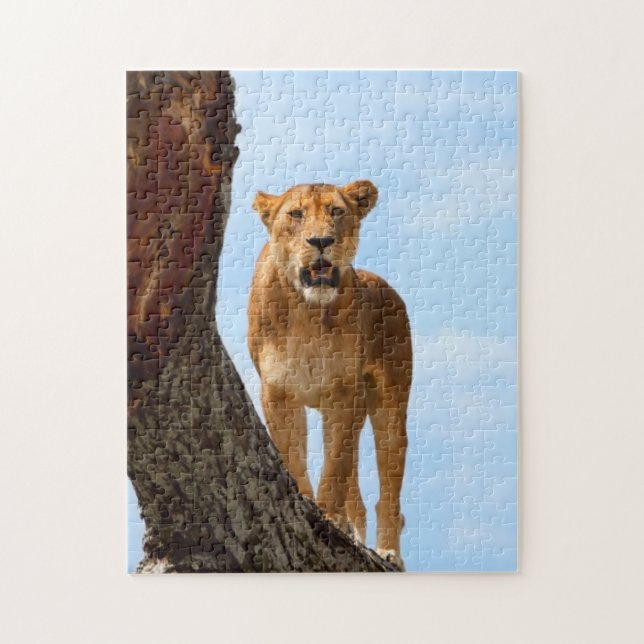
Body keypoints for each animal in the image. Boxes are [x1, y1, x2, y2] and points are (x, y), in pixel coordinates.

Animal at [248, 180, 412, 569]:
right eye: (296, 214)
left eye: (337, 211)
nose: (321, 241)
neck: (307, 311)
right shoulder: (278, 392)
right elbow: (293, 455)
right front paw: (306, 502)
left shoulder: (344, 393)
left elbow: (335, 465)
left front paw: (330, 517)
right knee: (358, 495)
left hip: (389, 407)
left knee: (388, 488)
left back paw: (388, 552)